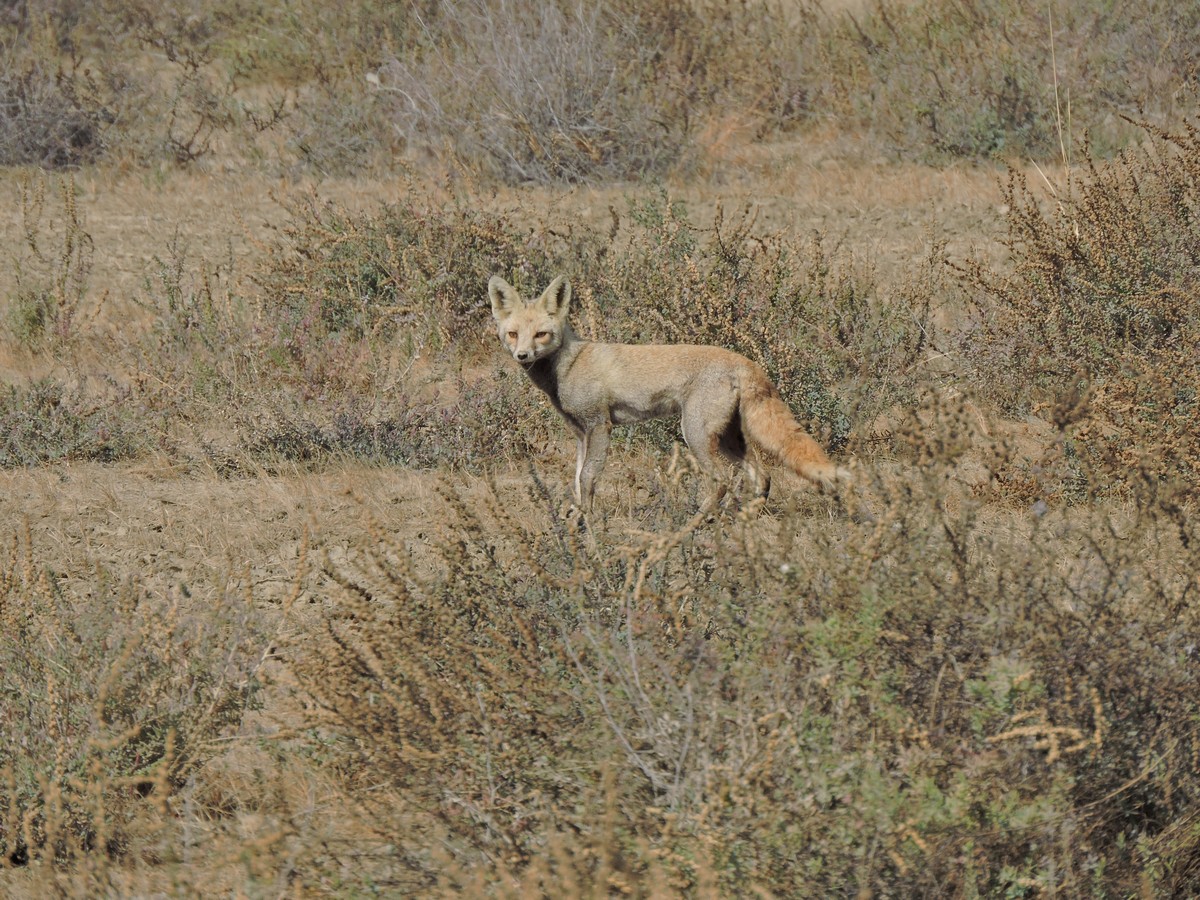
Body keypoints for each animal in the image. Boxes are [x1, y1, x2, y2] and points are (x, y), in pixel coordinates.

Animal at [489, 274, 850, 510]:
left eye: (541, 334)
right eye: (513, 334)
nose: (522, 356)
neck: (570, 364)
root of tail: (746, 362)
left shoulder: (599, 426)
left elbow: (588, 479)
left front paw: (590, 531)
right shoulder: (580, 433)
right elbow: (576, 481)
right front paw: (578, 522)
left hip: (695, 433)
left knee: (722, 480)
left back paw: (694, 526)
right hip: (730, 438)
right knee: (762, 478)